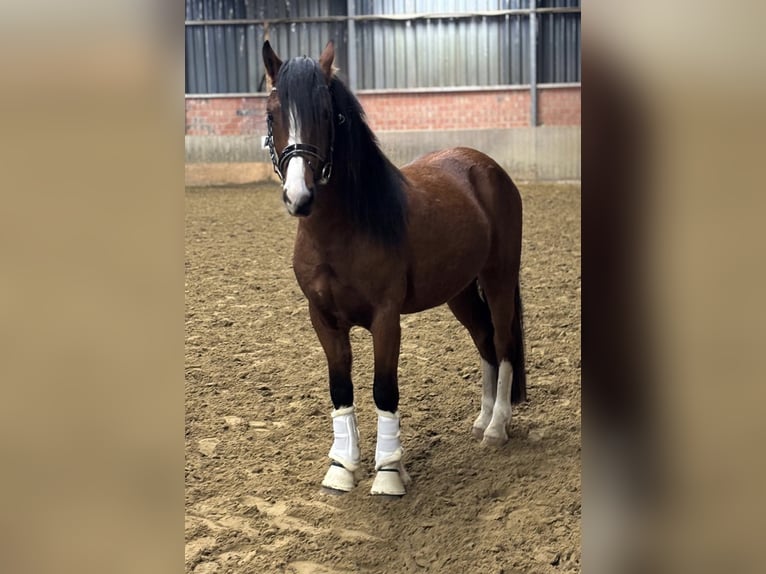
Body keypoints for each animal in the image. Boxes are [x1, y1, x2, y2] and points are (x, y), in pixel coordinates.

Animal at [262, 40, 526, 496]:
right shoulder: (323, 319)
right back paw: (481, 419)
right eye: (271, 113)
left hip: (498, 279)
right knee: (484, 341)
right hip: (459, 292)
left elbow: (384, 390)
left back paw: (496, 428)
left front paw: (388, 473)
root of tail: (487, 169)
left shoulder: (386, 319)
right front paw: (341, 468)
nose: (299, 196)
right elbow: (341, 389)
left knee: (503, 341)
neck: (343, 230)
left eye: (327, 114)